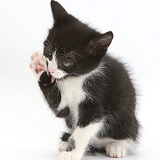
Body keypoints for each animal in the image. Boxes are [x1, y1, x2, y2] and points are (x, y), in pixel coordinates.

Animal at [29, 0, 139, 159]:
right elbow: (60, 109)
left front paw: (72, 154)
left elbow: (82, 133)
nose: (51, 70)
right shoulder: (64, 107)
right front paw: (39, 68)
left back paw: (117, 146)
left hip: (127, 119)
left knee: (127, 133)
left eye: (67, 62)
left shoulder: (97, 99)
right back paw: (66, 141)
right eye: (48, 52)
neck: (75, 79)